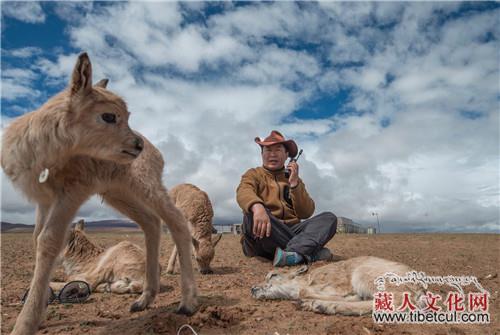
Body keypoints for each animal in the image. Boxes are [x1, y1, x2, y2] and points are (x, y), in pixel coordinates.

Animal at [0, 52, 198, 335]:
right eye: (108, 116)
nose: (136, 144)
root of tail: (156, 151)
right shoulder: (44, 200)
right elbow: (37, 236)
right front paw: (40, 306)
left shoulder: (71, 193)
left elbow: (48, 241)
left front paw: (25, 324)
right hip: (118, 192)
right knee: (151, 222)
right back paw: (144, 299)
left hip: (145, 185)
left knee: (177, 221)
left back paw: (188, 302)